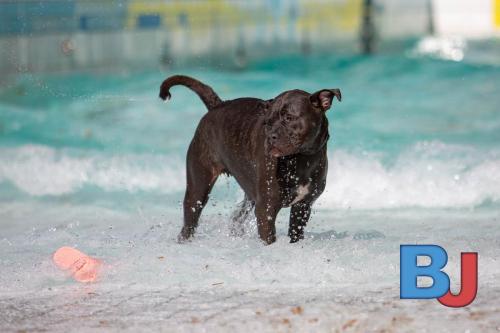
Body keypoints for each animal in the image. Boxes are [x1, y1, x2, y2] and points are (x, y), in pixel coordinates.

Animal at [160, 75, 340, 244]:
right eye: (267, 123)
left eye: (289, 118)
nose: (270, 137)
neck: (301, 159)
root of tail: (217, 105)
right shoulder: (266, 209)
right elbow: (268, 238)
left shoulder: (302, 207)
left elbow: (295, 234)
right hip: (198, 188)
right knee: (190, 220)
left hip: (249, 194)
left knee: (237, 217)